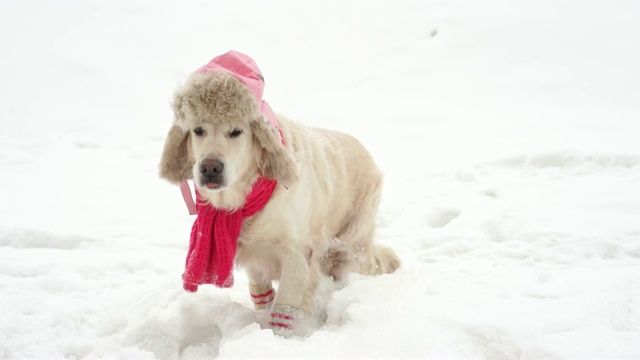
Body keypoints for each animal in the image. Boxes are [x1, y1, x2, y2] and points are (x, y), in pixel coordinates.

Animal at [159, 52, 400, 336]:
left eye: (236, 131)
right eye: (198, 130)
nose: (210, 168)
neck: (245, 198)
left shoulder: (296, 256)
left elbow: (285, 309)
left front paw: (279, 339)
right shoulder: (254, 256)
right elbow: (262, 296)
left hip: (350, 243)